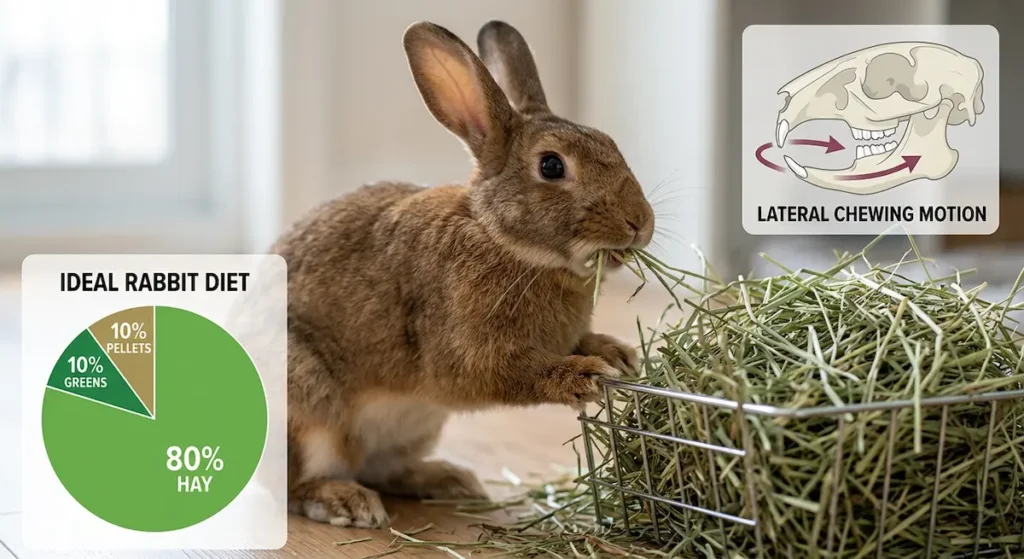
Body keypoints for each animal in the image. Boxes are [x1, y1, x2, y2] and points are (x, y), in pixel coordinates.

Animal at [273, 19, 655, 529]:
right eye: (552, 166)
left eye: (611, 143)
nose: (640, 222)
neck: (500, 238)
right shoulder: (466, 352)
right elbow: (508, 372)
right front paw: (584, 375)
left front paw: (618, 354)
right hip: (309, 408)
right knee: (297, 482)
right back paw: (345, 501)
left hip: (415, 427)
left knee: (383, 468)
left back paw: (449, 480)